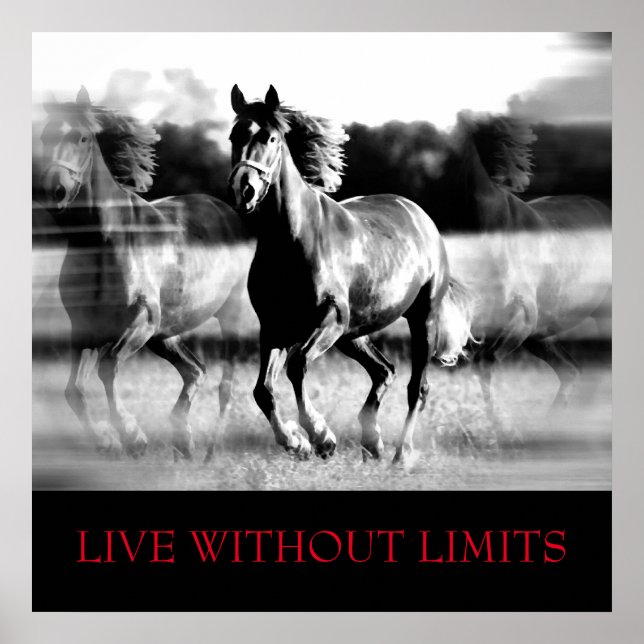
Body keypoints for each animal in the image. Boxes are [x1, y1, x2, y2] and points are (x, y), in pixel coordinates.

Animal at [36, 86, 256, 460]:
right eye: (43, 136)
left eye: (81, 137)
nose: (55, 192)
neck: (104, 242)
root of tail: (227, 211)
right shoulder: (84, 329)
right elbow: (74, 390)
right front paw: (108, 441)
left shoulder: (141, 321)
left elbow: (108, 366)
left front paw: (132, 436)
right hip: (166, 334)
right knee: (195, 370)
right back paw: (184, 439)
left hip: (228, 317)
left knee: (225, 384)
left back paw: (209, 450)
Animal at [226, 85, 475, 465]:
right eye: (233, 136)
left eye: (270, 137)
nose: (245, 189)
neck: (294, 240)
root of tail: (421, 217)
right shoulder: (274, 328)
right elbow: (262, 390)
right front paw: (296, 442)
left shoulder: (330, 318)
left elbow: (297, 366)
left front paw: (320, 437)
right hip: (353, 333)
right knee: (384, 371)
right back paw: (372, 442)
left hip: (419, 319)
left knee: (417, 387)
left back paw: (401, 455)